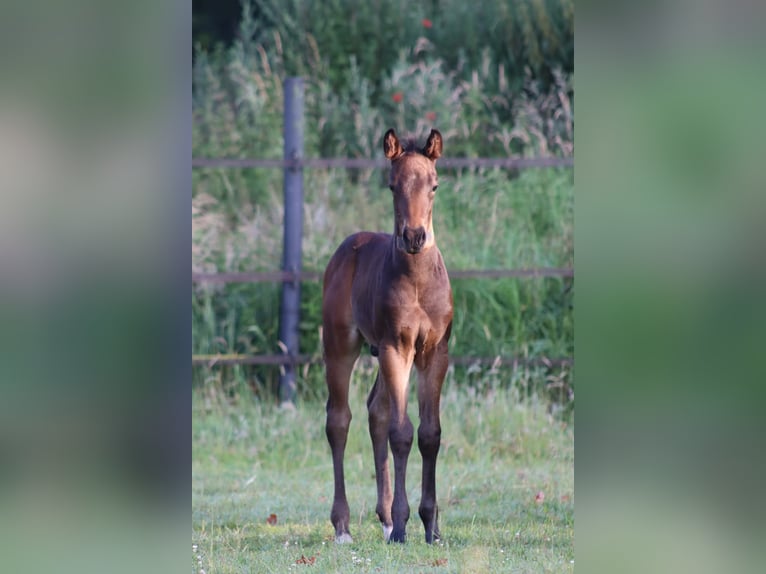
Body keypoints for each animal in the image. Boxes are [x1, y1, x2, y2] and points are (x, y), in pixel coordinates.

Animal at [322, 128, 453, 544]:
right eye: (393, 185)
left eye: (434, 185)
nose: (414, 237)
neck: (418, 282)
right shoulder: (398, 347)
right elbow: (402, 432)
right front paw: (403, 525)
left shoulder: (434, 352)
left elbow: (429, 433)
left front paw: (430, 526)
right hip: (340, 344)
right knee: (339, 419)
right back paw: (344, 525)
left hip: (380, 352)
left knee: (375, 410)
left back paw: (384, 519)